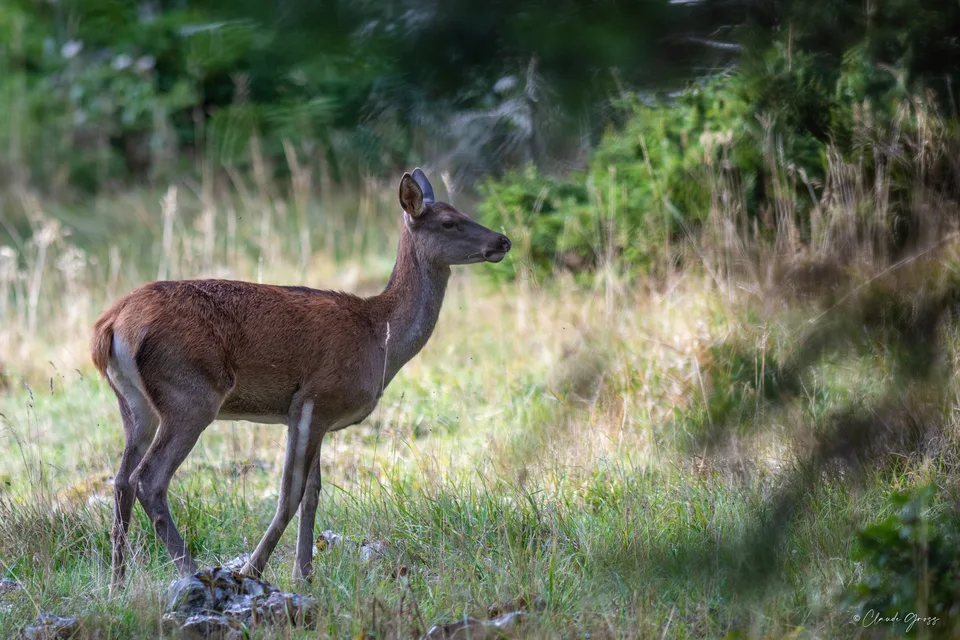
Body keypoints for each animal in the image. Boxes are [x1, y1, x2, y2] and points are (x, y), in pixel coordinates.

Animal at [91, 169, 511, 590]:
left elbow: (312, 493)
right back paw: (192, 573)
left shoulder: (320, 412)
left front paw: (304, 572)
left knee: (121, 480)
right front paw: (255, 570)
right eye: (449, 222)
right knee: (149, 479)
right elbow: (289, 495)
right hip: (190, 395)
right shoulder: (314, 398)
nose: (502, 241)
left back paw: (117, 584)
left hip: (134, 403)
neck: (380, 338)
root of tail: (110, 325)